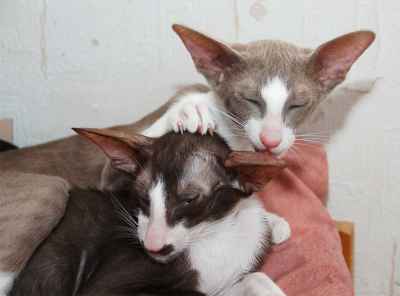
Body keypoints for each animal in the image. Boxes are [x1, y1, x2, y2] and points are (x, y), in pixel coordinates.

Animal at [10, 129, 290, 296]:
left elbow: (255, 278)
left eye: (189, 200)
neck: (212, 234)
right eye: (143, 197)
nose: (152, 246)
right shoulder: (106, 289)